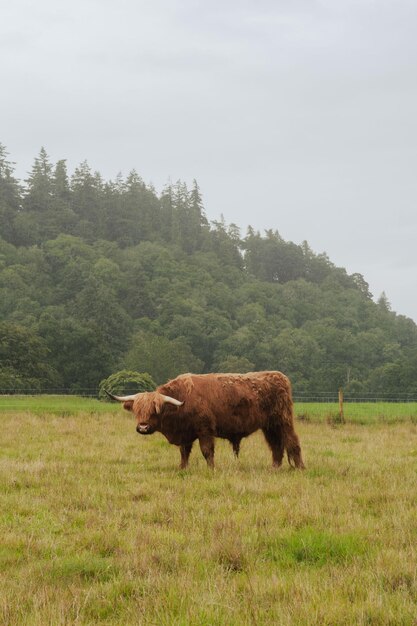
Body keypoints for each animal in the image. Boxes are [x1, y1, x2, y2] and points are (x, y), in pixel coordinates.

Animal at [105, 370, 304, 468]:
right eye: (137, 410)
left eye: (156, 410)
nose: (143, 428)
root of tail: (279, 376)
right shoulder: (185, 434)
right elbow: (184, 453)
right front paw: (182, 468)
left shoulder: (205, 430)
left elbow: (207, 451)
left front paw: (211, 469)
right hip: (269, 426)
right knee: (276, 445)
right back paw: (275, 467)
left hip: (283, 421)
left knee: (292, 442)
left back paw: (300, 467)